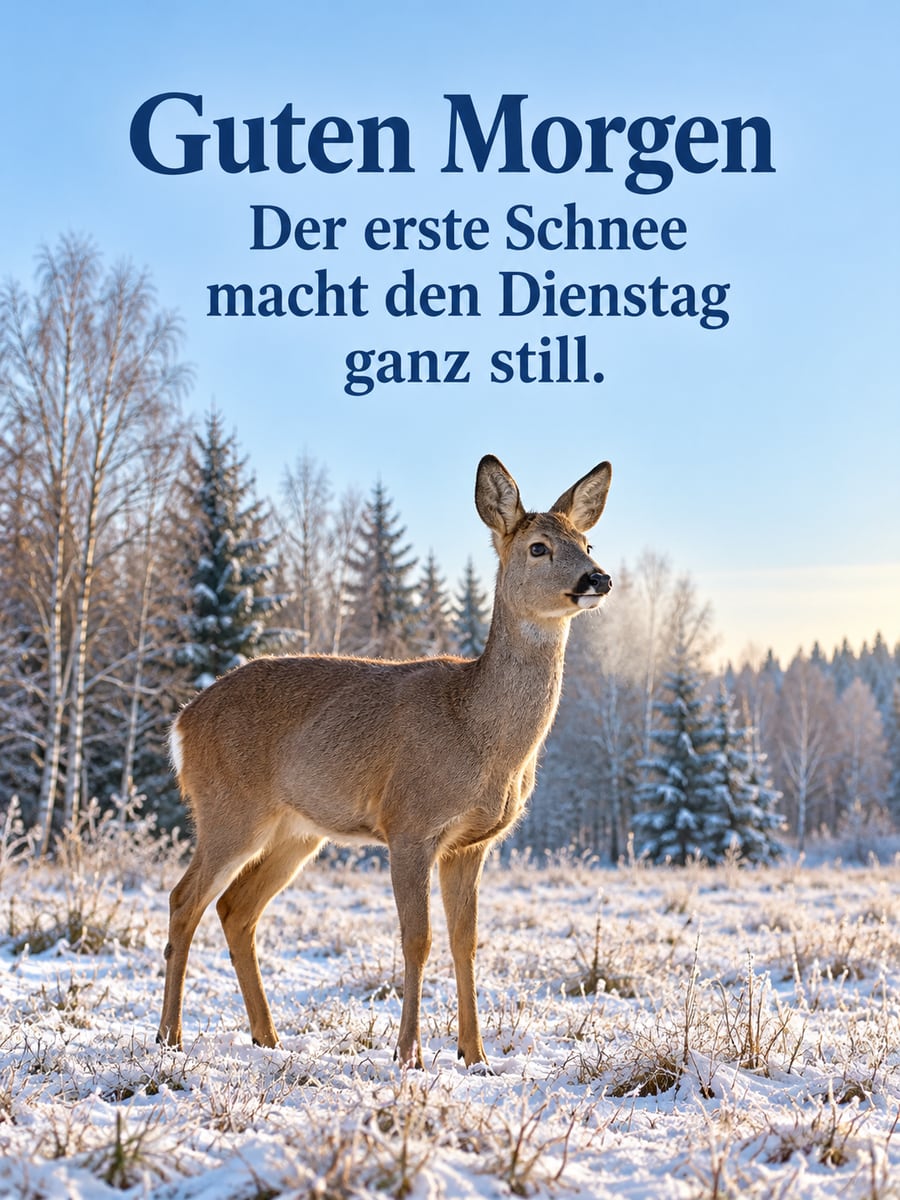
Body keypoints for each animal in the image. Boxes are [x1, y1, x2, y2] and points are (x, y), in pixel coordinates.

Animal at [158, 454, 613, 1069]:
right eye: (538, 546)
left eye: (587, 541)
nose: (598, 578)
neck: (478, 730)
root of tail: (183, 723)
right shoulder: (409, 824)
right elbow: (417, 940)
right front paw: (410, 1055)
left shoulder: (472, 844)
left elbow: (466, 943)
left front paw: (476, 1056)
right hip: (228, 809)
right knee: (185, 901)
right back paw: (171, 1037)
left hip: (295, 832)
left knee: (236, 909)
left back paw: (268, 1038)